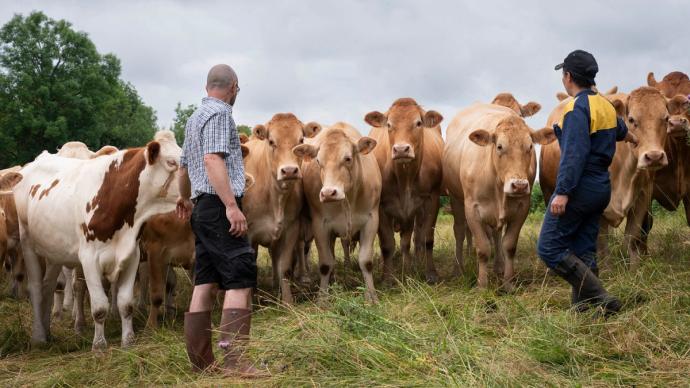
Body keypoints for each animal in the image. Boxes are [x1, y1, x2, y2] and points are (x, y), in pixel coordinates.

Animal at [242, 112, 320, 304]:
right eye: (271, 141)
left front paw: (287, 301)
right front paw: (250, 301)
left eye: (300, 140)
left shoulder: (290, 229)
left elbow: (283, 267)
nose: (290, 170)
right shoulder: (248, 234)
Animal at [292, 123, 382, 302]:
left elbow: (366, 261)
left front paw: (371, 296)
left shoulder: (371, 221)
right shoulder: (320, 225)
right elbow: (326, 263)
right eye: (318, 161)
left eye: (347, 158)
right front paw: (322, 298)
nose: (328, 193)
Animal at [362, 98, 444, 284]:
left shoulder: (431, 200)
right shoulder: (381, 206)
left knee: (414, 239)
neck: (405, 178)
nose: (401, 149)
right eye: (389, 124)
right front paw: (387, 278)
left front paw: (430, 273)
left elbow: (427, 239)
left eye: (418, 123)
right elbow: (387, 244)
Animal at [440, 102, 552, 288]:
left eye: (530, 147)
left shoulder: (522, 207)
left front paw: (508, 282)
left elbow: (509, 246)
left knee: (496, 234)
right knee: (460, 232)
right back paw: (458, 269)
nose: (519, 185)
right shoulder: (472, 209)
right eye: (499, 146)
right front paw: (482, 285)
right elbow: (483, 248)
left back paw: (499, 266)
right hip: (456, 199)